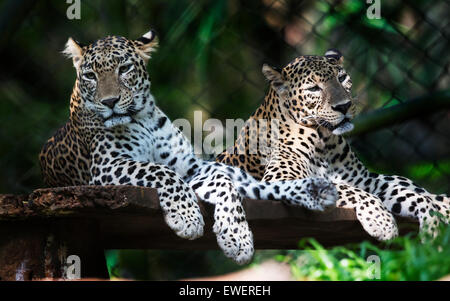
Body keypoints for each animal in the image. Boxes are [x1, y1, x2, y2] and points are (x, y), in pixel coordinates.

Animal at [39, 29, 342, 262]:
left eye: (123, 69)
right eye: (90, 75)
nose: (109, 102)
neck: (141, 119)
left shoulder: (191, 167)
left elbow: (224, 182)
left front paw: (236, 236)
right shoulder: (107, 167)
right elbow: (159, 171)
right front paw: (188, 219)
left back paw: (315, 191)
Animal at [216, 48, 448, 239]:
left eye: (342, 78)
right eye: (313, 88)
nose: (344, 106)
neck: (324, 142)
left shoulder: (363, 179)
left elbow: (403, 190)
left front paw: (432, 213)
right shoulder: (280, 179)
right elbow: (342, 188)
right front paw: (381, 220)